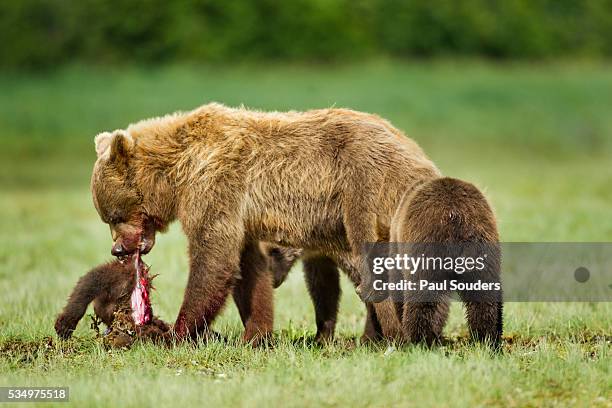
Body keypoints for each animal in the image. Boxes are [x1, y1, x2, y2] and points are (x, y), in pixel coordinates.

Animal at [92, 103, 502, 346]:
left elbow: (213, 258)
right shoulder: (242, 215)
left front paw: (173, 332)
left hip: (374, 198)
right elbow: (247, 270)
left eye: (112, 215)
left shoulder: (217, 187)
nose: (118, 248)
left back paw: (394, 335)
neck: (177, 173)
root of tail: (421, 156)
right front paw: (256, 333)